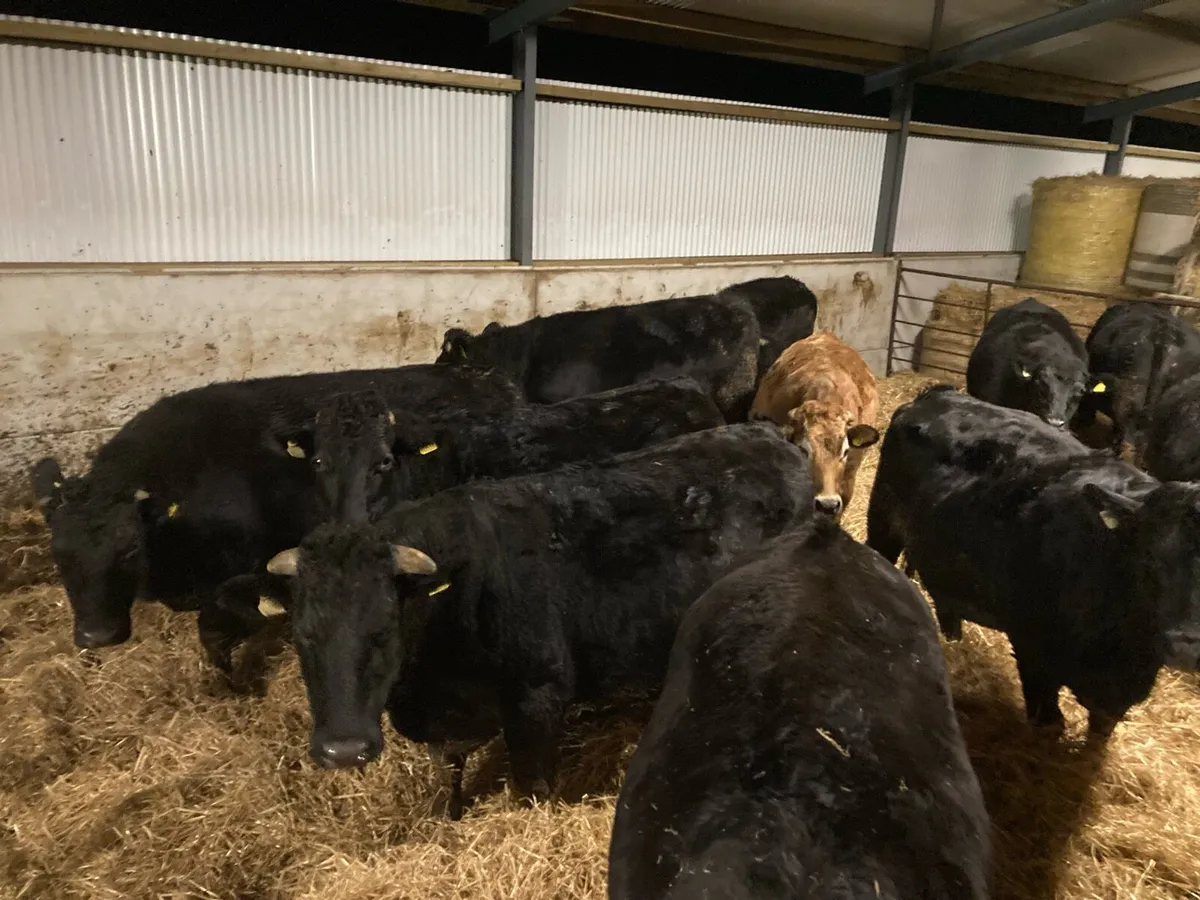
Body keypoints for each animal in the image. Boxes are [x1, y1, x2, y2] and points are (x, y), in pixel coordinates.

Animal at [255, 423, 813, 818]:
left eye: (385, 627)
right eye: (303, 636)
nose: (343, 750)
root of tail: (769, 436)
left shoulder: (538, 700)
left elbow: (532, 788)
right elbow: (450, 770)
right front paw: (448, 814)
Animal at [867, 385, 1200, 735]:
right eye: (1148, 559)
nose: (1186, 646)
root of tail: (939, 393)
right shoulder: (1032, 647)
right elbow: (1048, 721)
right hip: (883, 522)